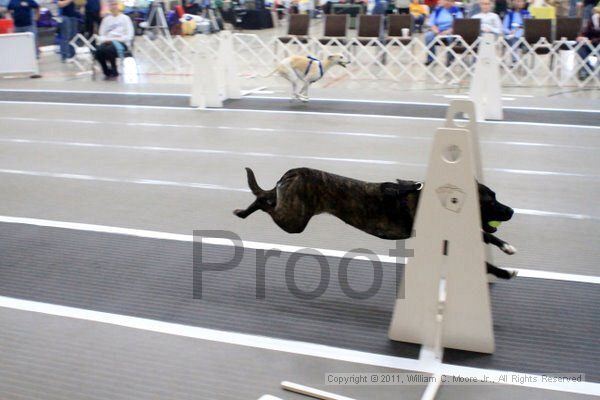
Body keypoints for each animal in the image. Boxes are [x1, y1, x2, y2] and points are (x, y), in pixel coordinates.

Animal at [234, 167, 516, 280]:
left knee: (268, 197)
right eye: (490, 200)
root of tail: (292, 172)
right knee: (265, 201)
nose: (512, 210)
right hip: (293, 220)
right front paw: (503, 272)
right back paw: (244, 211)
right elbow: (484, 259)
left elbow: (486, 235)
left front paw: (506, 246)